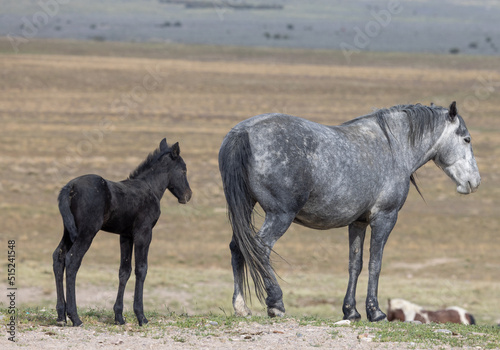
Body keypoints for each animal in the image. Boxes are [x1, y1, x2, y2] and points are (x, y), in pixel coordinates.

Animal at [53, 138, 191, 326]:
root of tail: (70, 187)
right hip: (86, 233)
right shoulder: (143, 233)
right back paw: (75, 316)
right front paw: (141, 316)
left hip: (68, 231)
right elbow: (141, 269)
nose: (188, 195)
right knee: (72, 260)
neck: (150, 188)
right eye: (183, 170)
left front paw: (119, 316)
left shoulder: (125, 236)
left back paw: (61, 315)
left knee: (58, 257)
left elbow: (124, 271)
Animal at [219, 102, 480, 322]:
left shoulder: (358, 222)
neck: (393, 146)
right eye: (466, 139)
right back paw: (276, 303)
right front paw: (375, 312)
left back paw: (241, 307)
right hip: (279, 216)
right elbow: (375, 262)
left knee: (237, 248)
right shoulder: (384, 218)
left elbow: (355, 264)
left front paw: (351, 311)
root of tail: (243, 132)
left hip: (246, 207)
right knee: (260, 249)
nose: (474, 182)